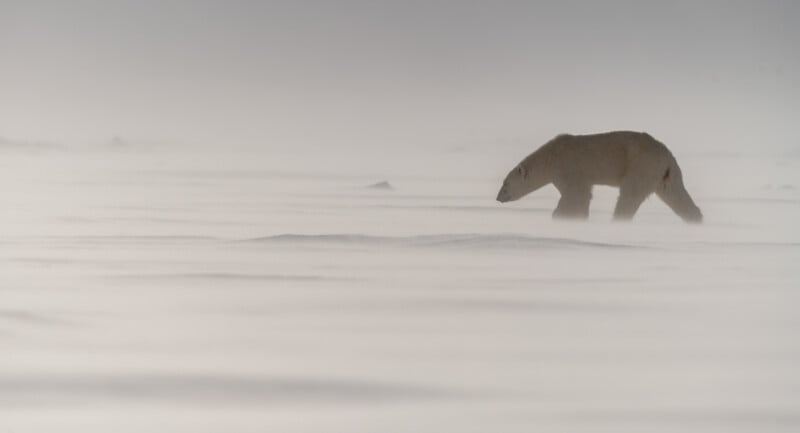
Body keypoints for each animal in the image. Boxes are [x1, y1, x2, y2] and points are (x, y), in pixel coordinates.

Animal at [494, 130, 700, 221]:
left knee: (629, 195)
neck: (550, 157)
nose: (497, 198)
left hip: (641, 165)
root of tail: (666, 155)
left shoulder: (568, 166)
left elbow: (576, 194)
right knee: (677, 195)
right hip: (667, 175)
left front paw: (559, 215)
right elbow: (581, 196)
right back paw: (696, 220)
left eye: (505, 184)